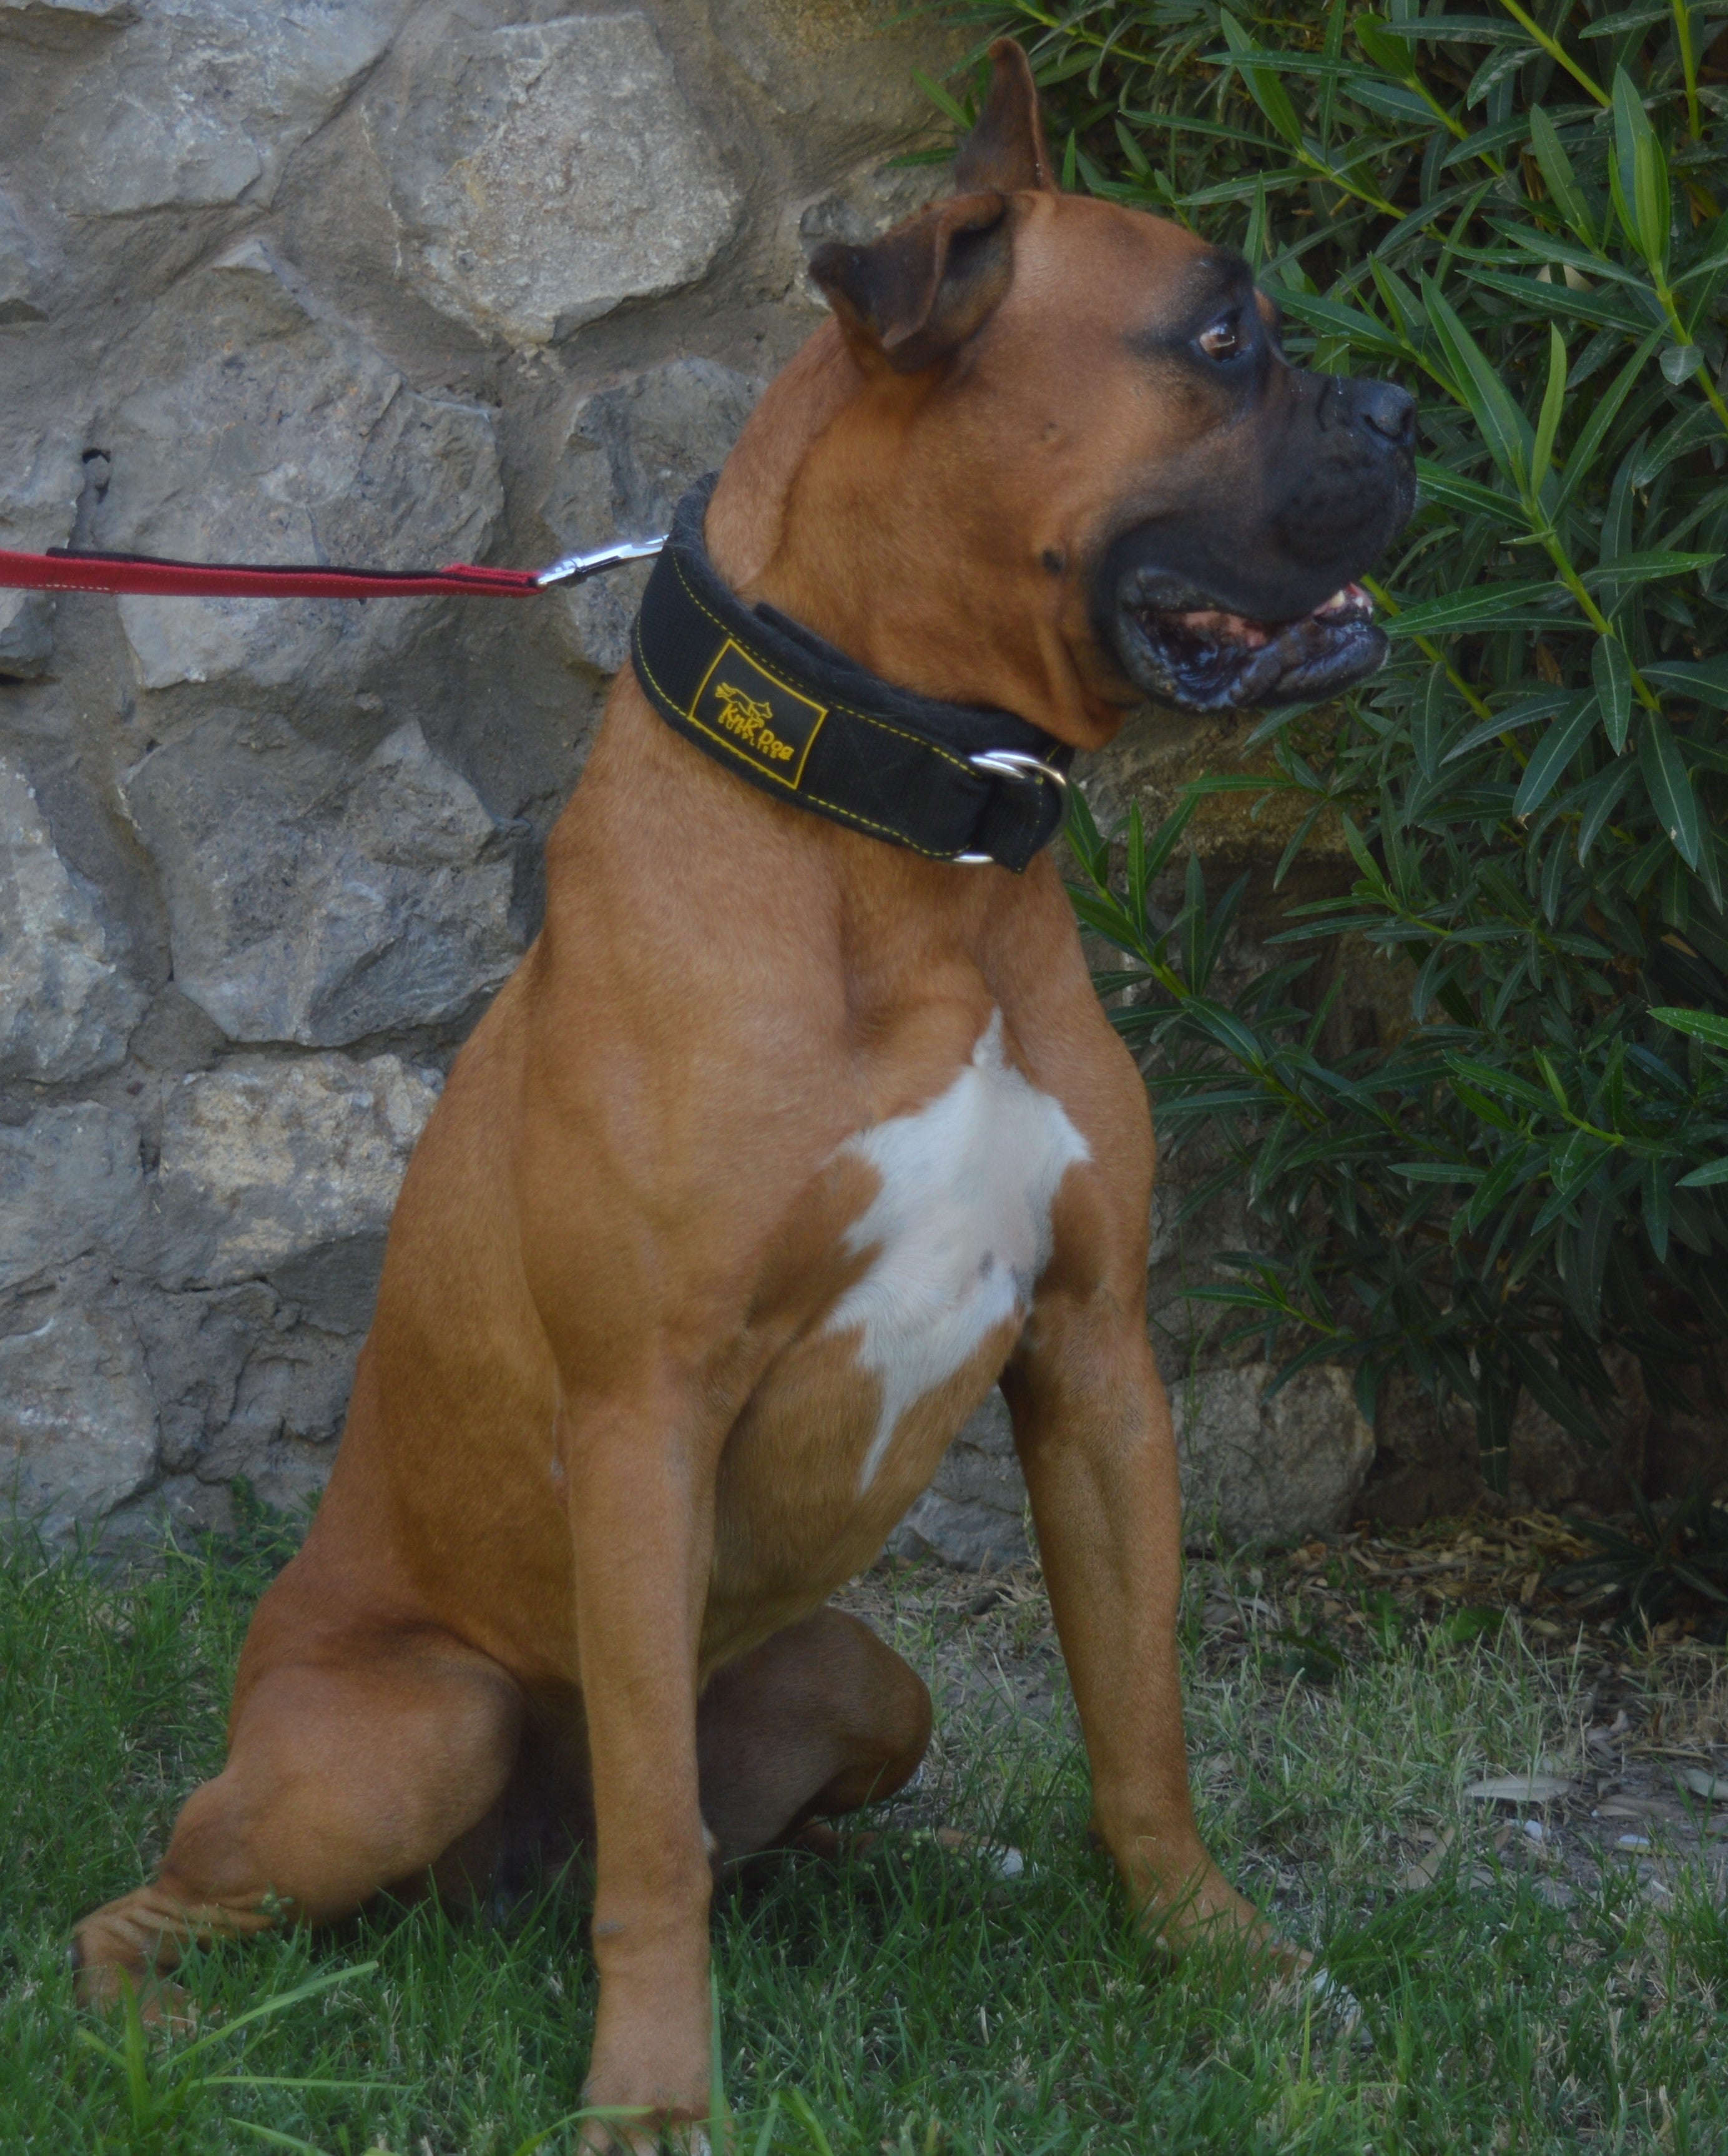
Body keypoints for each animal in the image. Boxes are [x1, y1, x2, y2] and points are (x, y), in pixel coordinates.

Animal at [74, 42, 1405, 2147]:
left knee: (751, 1813)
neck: (915, 845)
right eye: (1218, 335)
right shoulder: (646, 1412)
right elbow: (653, 1847)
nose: (1409, 408)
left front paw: (1224, 1958)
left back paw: (911, 1871)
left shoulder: (1097, 1360)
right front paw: (650, 2093)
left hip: (857, 1671)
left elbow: (1141, 1721)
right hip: (408, 1730)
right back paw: (160, 2025)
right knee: (181, 1897)